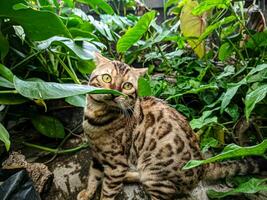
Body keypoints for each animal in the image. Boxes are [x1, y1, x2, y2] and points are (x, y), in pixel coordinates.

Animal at [77, 53, 264, 200]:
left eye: (127, 86)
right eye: (107, 78)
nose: (114, 93)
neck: (95, 118)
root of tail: (203, 164)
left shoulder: (116, 164)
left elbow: (107, 192)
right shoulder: (97, 154)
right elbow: (93, 176)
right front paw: (87, 193)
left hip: (155, 176)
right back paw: (129, 175)